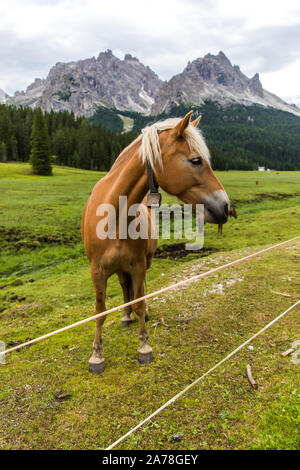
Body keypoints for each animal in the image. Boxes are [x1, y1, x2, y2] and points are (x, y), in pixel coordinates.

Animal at [81, 111, 229, 374]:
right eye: (196, 160)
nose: (225, 206)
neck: (115, 216)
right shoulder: (97, 271)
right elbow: (99, 312)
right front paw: (96, 356)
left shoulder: (138, 266)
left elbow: (140, 302)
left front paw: (144, 347)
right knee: (125, 288)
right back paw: (125, 316)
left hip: (141, 264)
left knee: (135, 291)